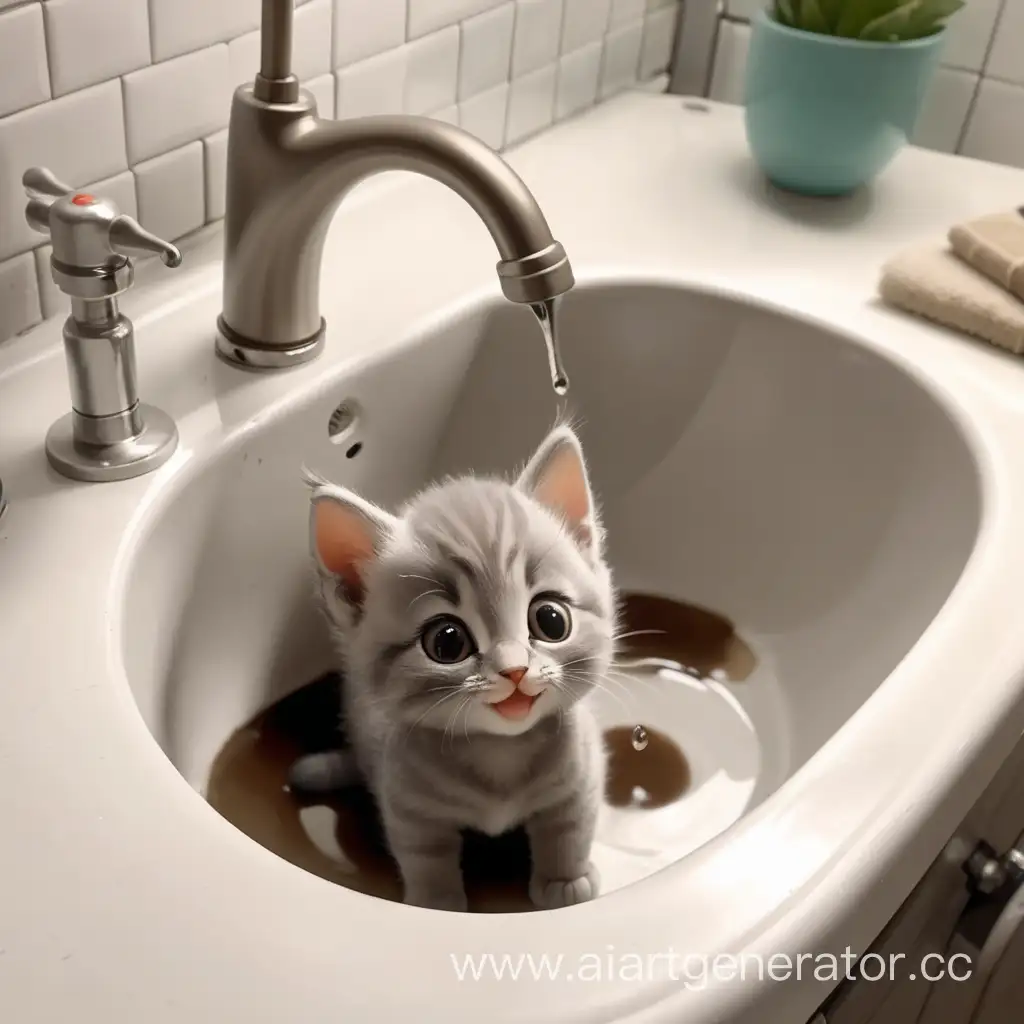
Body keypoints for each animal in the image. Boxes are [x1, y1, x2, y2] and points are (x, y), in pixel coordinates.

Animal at [292, 423, 618, 913]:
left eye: (550, 620)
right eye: (447, 642)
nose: (515, 670)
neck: (500, 753)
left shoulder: (581, 772)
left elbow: (570, 828)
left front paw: (566, 880)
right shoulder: (408, 803)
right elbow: (424, 855)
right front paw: (438, 901)